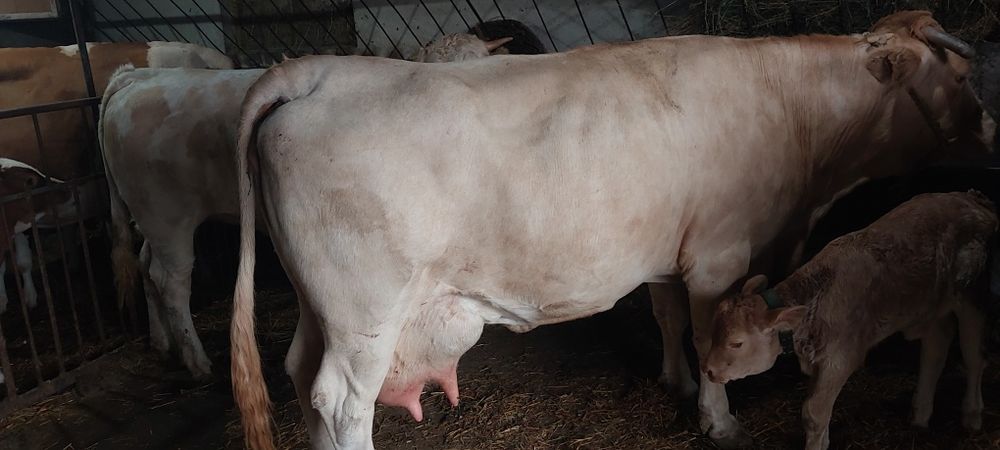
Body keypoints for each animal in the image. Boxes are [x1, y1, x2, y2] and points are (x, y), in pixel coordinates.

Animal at [99, 34, 514, 378]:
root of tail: (135, 78)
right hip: (168, 217)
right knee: (171, 281)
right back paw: (196, 360)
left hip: (150, 218)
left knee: (146, 266)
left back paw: (162, 343)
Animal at [703, 191, 999, 450]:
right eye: (714, 332)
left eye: (737, 343)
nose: (708, 370)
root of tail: (971, 198)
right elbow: (817, 410)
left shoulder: (841, 356)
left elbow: (813, 412)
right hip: (931, 304)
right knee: (937, 345)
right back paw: (920, 415)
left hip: (972, 293)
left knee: (973, 355)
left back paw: (971, 416)